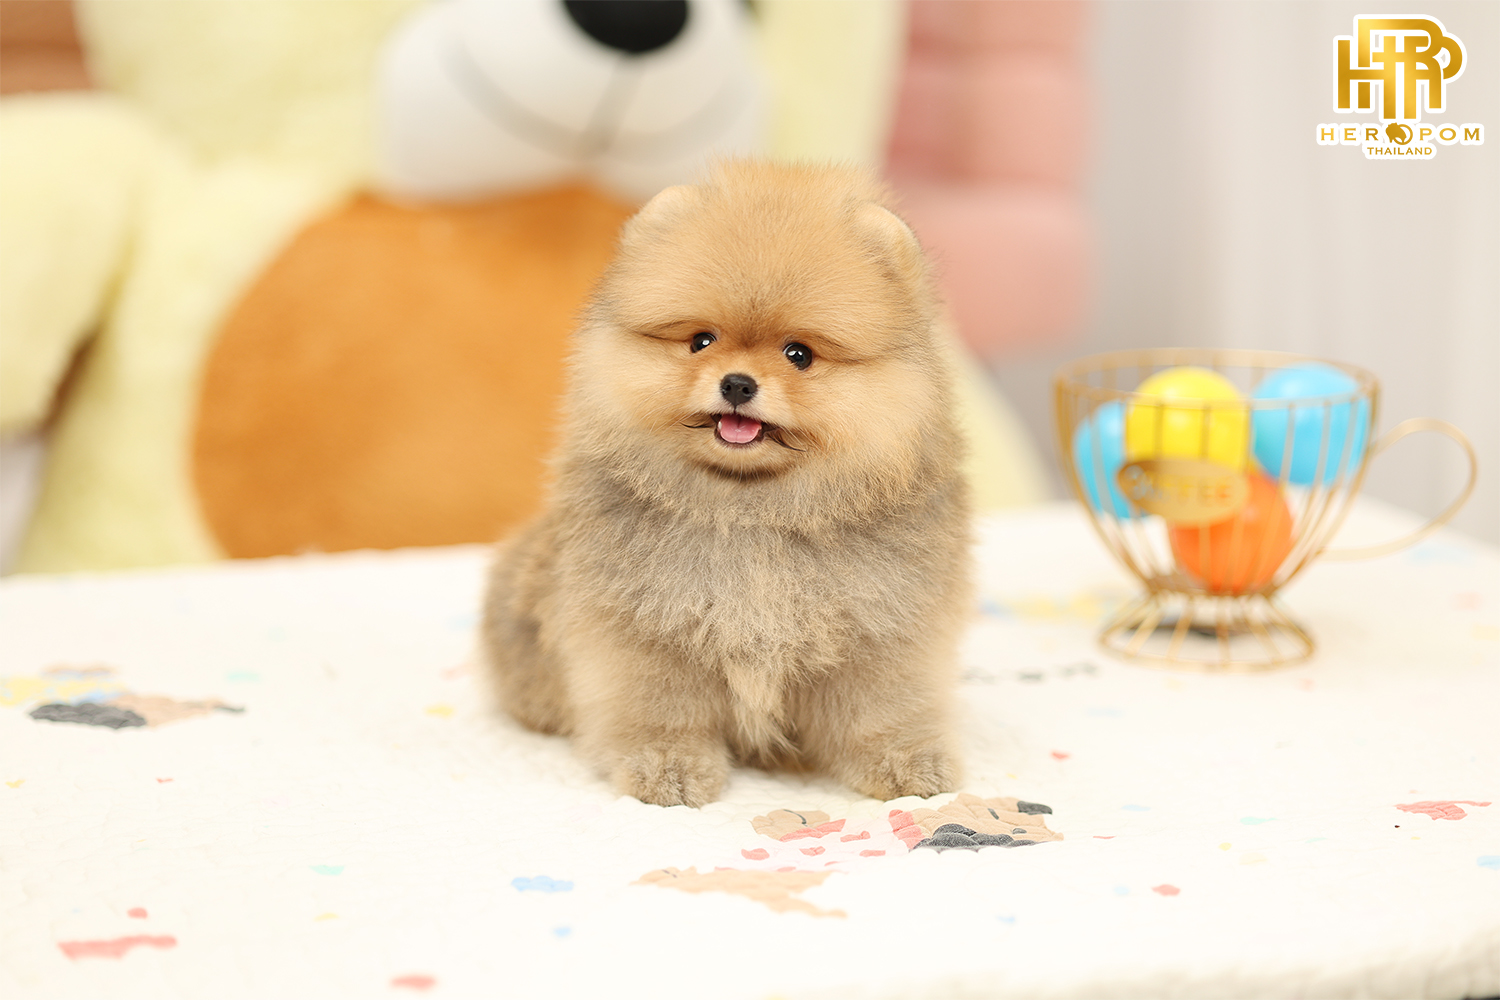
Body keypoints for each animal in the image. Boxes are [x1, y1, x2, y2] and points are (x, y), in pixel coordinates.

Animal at [482, 161, 972, 807]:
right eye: (701, 341)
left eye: (799, 354)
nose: (737, 382)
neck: (751, 510)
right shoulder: (645, 630)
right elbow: (661, 710)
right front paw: (667, 767)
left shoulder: (882, 626)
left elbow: (881, 708)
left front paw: (906, 764)